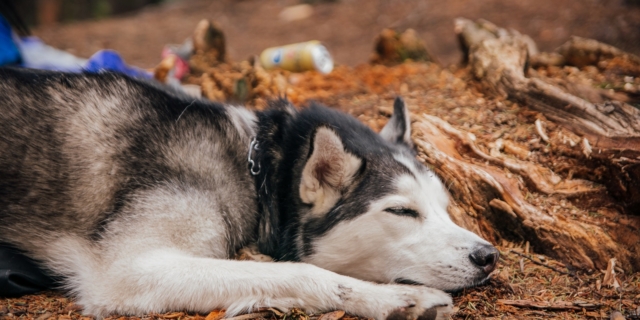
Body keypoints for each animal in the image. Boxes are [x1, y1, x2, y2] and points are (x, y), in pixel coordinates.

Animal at [0, 68, 498, 320]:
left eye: (445, 209)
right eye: (401, 211)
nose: (488, 255)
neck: (253, 172)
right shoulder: (128, 270)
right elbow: (303, 272)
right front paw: (392, 300)